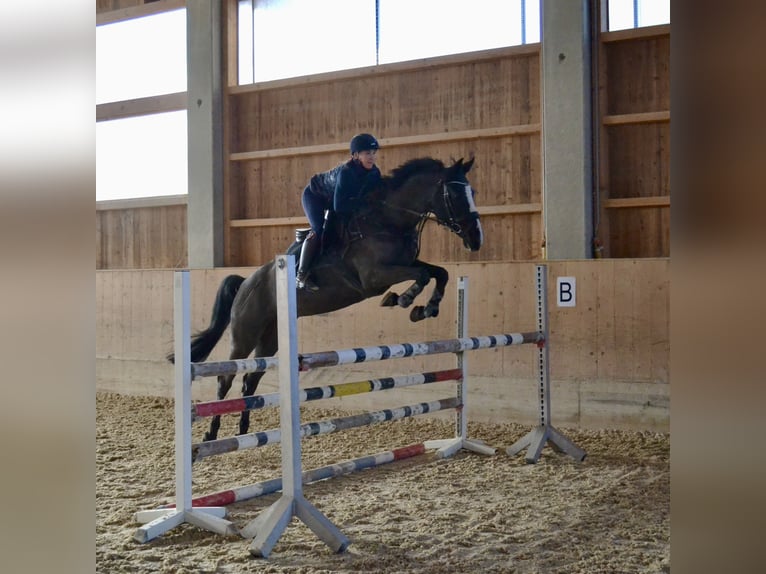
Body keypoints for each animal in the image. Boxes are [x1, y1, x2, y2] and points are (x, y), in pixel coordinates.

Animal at [174, 156, 483, 441]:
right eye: (455, 194)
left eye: (473, 192)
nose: (476, 239)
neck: (388, 221)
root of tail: (245, 283)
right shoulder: (374, 277)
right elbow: (421, 275)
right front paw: (404, 300)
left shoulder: (405, 264)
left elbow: (438, 272)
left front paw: (427, 308)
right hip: (245, 333)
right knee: (226, 378)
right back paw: (211, 434)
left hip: (270, 337)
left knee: (251, 379)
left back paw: (244, 428)